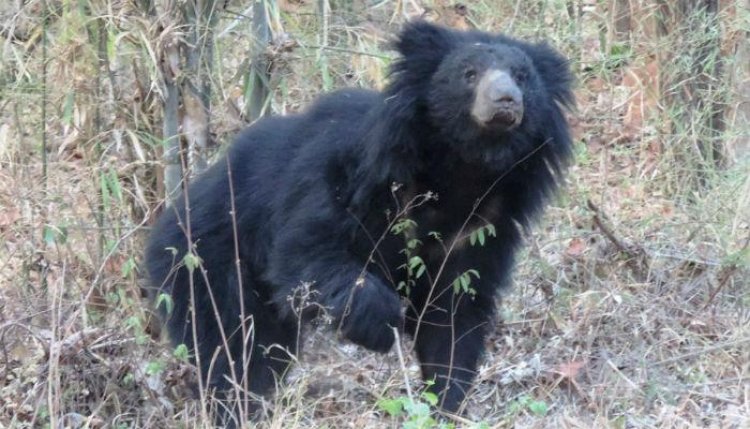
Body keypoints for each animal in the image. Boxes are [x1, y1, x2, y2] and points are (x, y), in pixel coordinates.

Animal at [147, 20, 576, 418]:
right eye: (469, 74)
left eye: (522, 76)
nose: (505, 100)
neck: (461, 167)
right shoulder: (351, 173)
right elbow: (307, 251)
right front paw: (382, 324)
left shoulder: (482, 225)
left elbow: (453, 313)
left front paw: (446, 401)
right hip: (208, 260)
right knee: (235, 343)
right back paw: (236, 405)